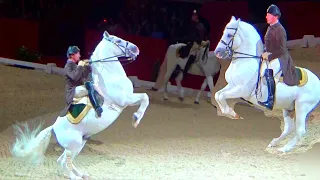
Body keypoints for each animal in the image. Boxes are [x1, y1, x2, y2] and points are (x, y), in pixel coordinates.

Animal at [10, 31, 150, 179]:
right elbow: (145, 98)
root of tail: (54, 127)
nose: (136, 49)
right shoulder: (125, 100)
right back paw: (75, 176)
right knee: (63, 162)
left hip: (79, 144)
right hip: (74, 144)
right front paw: (136, 119)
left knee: (64, 160)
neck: (110, 76)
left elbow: (145, 98)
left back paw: (82, 174)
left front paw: (136, 118)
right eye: (118, 40)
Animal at [212, 16, 320, 153]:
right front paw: (230, 113)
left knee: (300, 131)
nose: (217, 52)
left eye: (229, 35)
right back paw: (273, 143)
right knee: (288, 128)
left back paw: (284, 149)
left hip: (302, 107)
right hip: (289, 107)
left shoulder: (241, 90)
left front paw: (232, 113)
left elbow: (221, 96)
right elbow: (218, 95)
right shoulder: (231, 85)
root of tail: (317, 81)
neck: (245, 61)